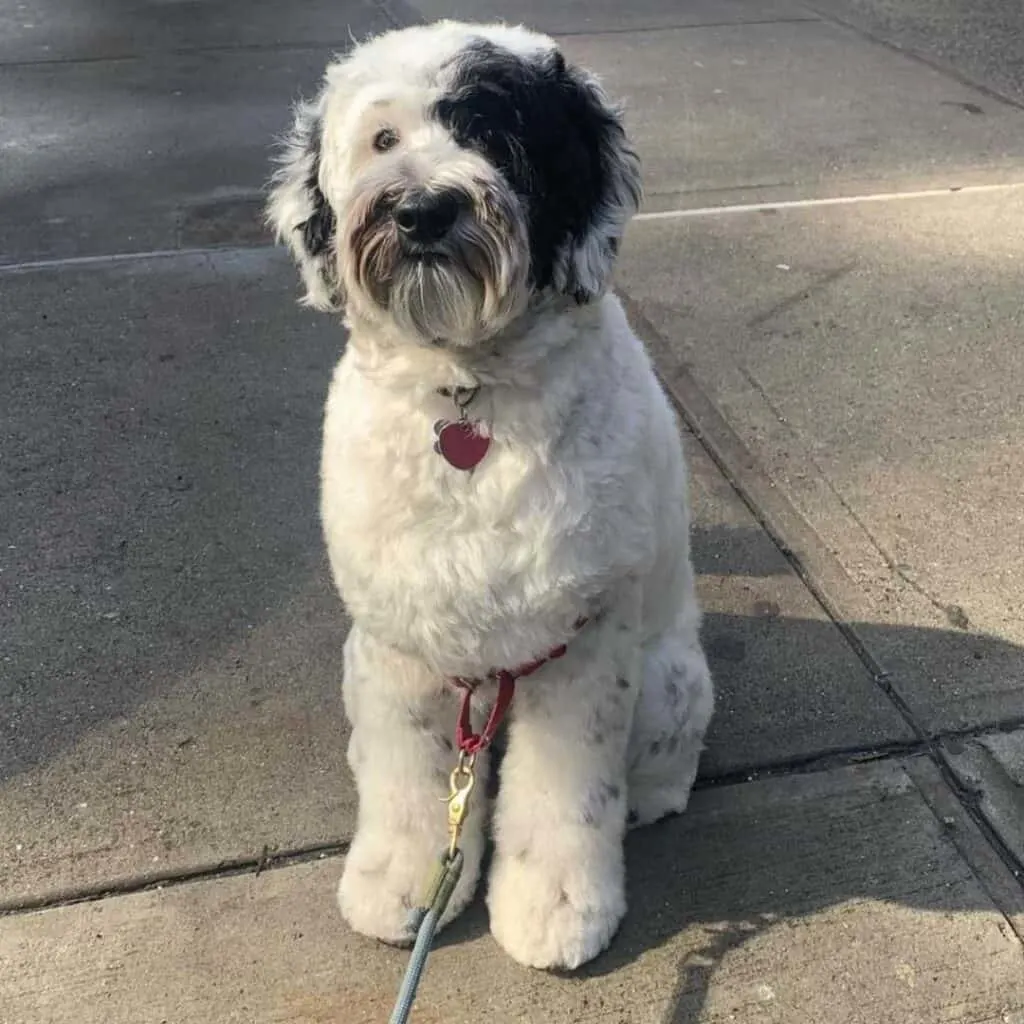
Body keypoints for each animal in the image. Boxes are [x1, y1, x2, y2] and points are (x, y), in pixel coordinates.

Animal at [266, 19, 712, 970]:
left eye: (495, 133)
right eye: (383, 139)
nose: (423, 210)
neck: (468, 393)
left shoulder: (581, 646)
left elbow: (566, 794)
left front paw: (557, 907)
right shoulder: (401, 646)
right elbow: (407, 781)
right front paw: (402, 882)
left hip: (669, 678)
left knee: (662, 762)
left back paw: (650, 796)